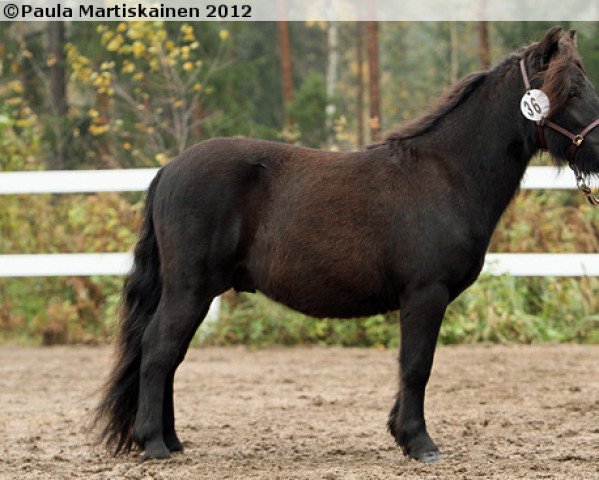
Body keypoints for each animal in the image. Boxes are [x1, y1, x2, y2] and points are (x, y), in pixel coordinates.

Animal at [94, 28, 599, 464]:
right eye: (571, 90)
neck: (447, 174)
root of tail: (169, 169)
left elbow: (408, 367)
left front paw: (402, 435)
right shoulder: (425, 294)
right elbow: (417, 365)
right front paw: (420, 443)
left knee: (170, 355)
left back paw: (173, 440)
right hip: (190, 288)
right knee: (159, 350)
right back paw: (154, 444)